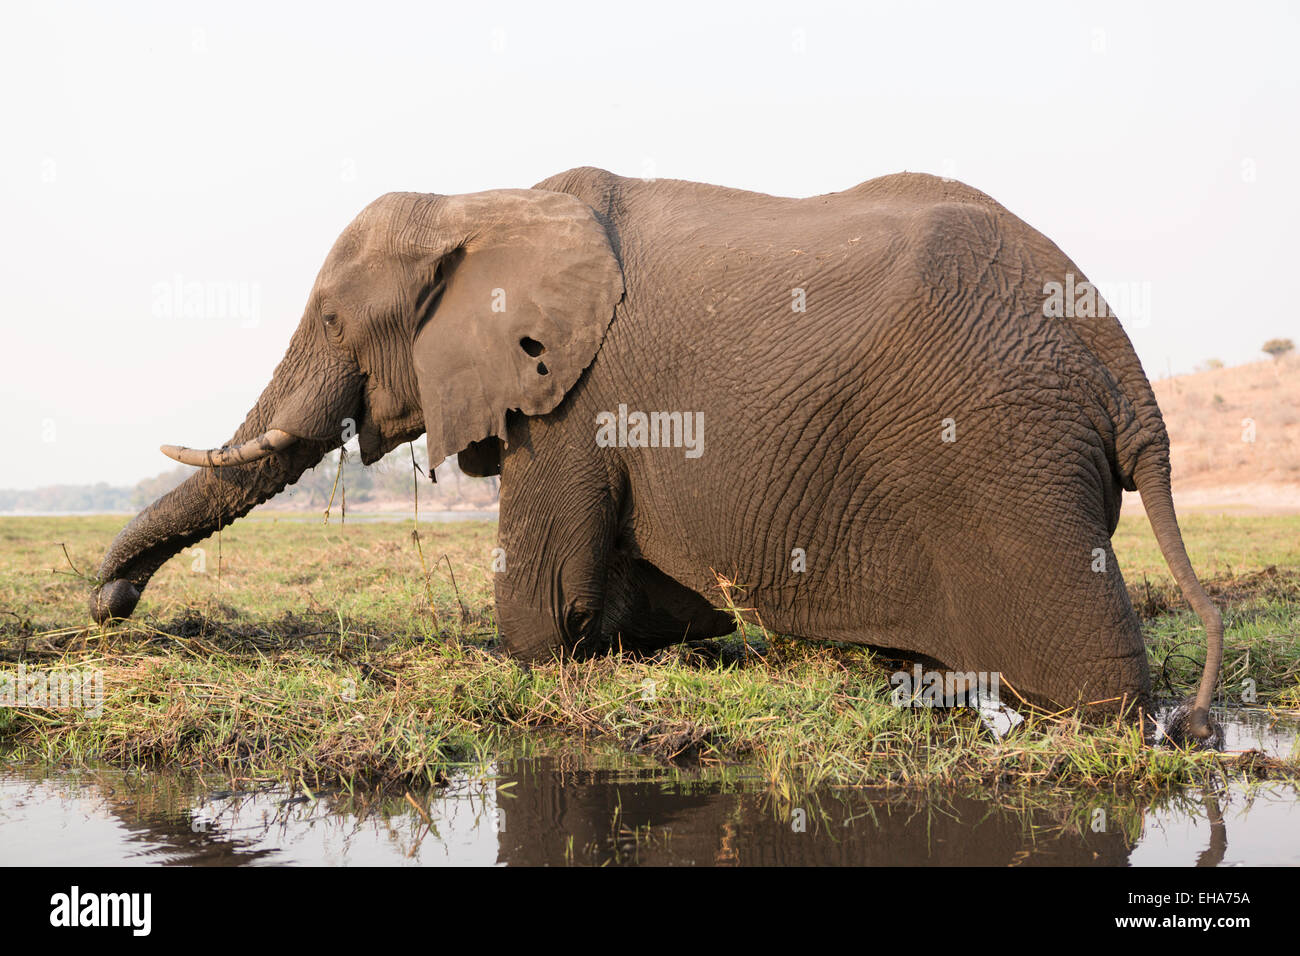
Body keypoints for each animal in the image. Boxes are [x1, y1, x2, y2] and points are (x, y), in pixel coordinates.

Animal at [89, 167, 1216, 738]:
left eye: (331, 319)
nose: (110, 605)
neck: (484, 198)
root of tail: (1123, 366)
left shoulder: (574, 398)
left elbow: (542, 611)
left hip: (1003, 457)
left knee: (1087, 678)